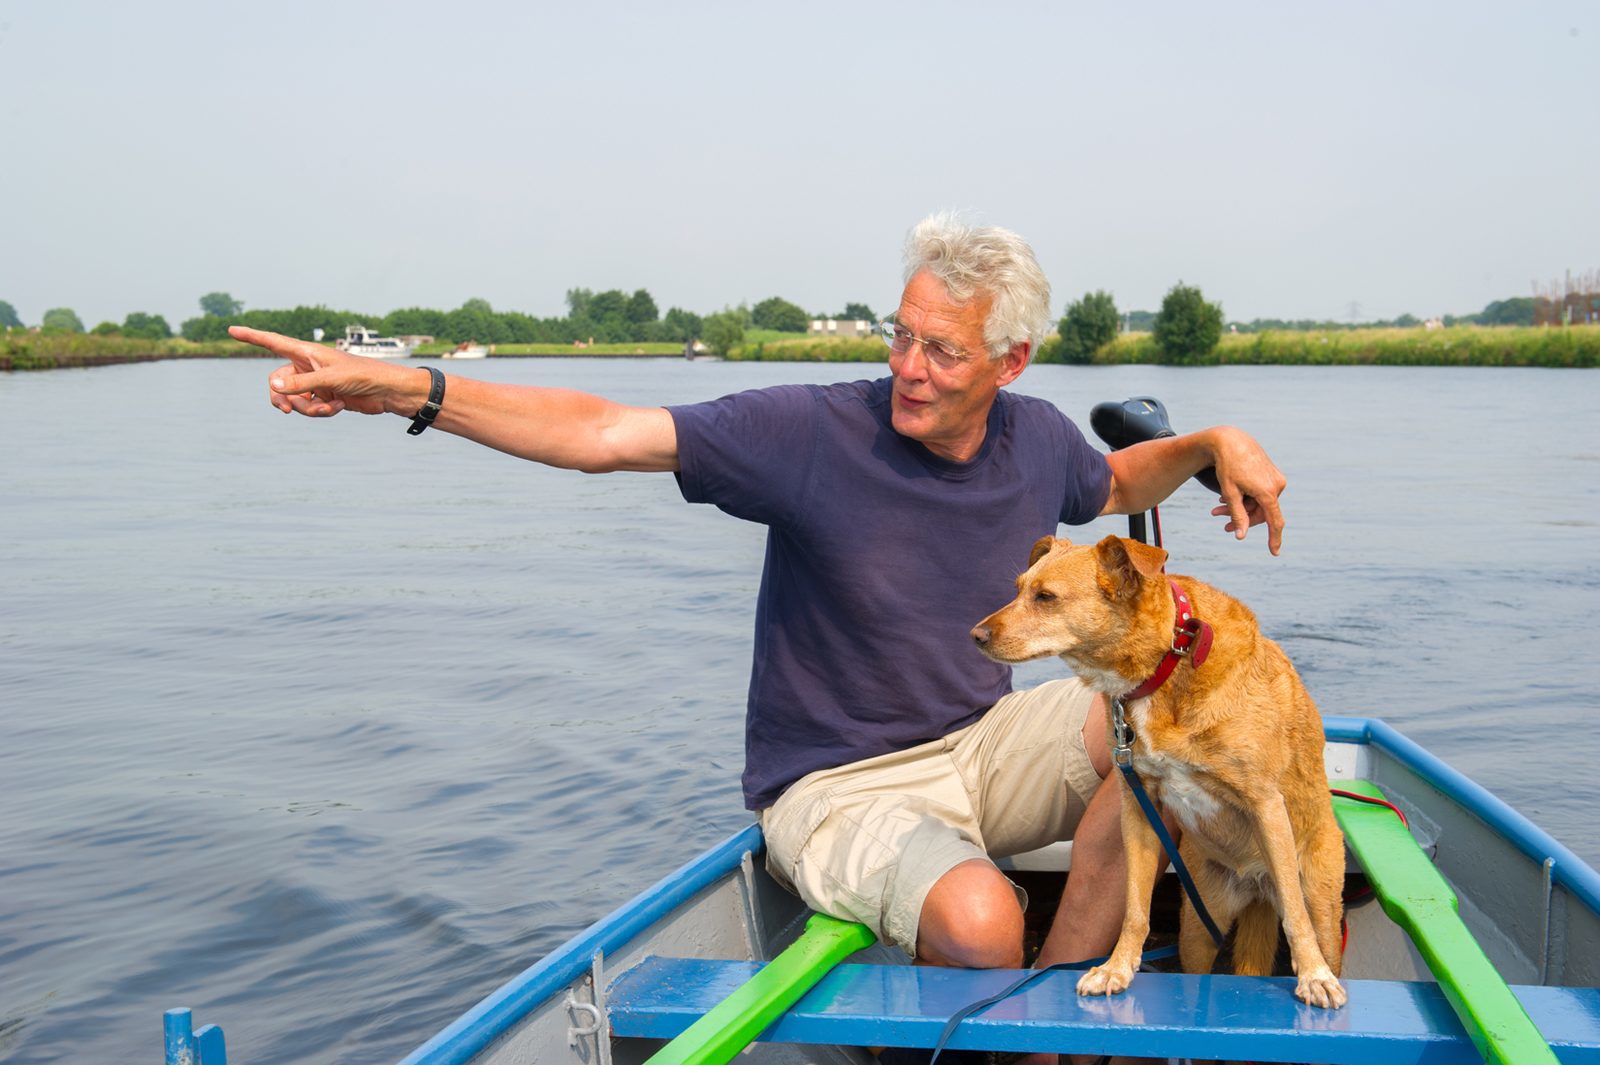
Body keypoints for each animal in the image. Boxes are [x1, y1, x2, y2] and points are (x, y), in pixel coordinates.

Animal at [972, 534, 1350, 1010]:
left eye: (1046, 597)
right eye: (1019, 589)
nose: (975, 635)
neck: (1170, 659)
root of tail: (1257, 886)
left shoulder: (1265, 803)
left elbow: (1295, 916)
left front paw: (1313, 976)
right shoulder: (1137, 807)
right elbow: (1135, 908)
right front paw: (1117, 968)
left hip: (1322, 903)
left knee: (1304, 911)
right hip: (1198, 925)